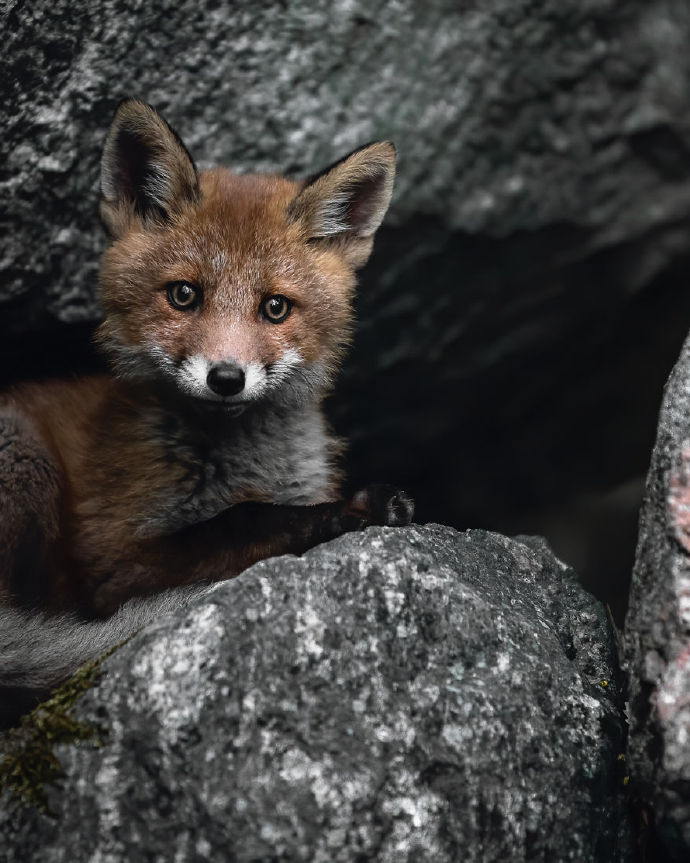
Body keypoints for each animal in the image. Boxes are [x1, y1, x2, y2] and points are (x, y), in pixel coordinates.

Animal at [0, 98, 412, 724]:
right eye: (184, 295)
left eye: (275, 307)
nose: (226, 378)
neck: (238, 466)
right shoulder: (114, 567)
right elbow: (240, 520)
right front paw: (340, 512)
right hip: (28, 463)